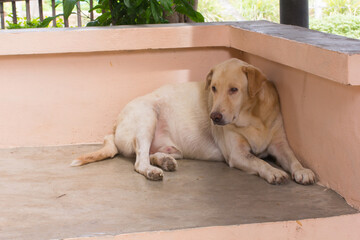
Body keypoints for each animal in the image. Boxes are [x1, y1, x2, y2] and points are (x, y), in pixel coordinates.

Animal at [72, 58, 316, 186]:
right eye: (214, 88)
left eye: (234, 90)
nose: (214, 117)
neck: (253, 118)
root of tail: (114, 129)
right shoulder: (237, 154)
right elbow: (259, 162)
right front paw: (273, 171)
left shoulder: (280, 144)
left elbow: (293, 158)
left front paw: (303, 170)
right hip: (147, 116)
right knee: (139, 161)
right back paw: (152, 170)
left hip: (172, 147)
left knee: (148, 154)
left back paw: (164, 161)